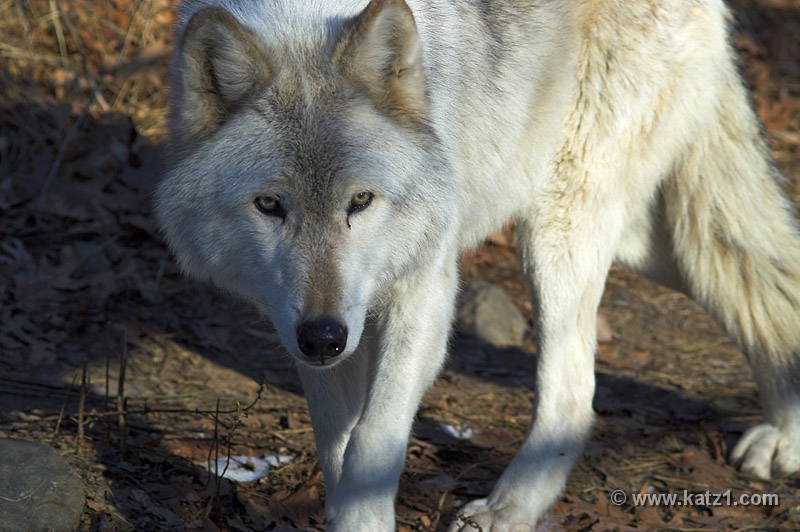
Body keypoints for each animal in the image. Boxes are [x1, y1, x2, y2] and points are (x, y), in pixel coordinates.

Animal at [154, 0, 800, 530]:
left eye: (360, 201)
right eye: (270, 206)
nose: (324, 337)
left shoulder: (424, 291)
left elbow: (371, 442)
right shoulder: (313, 324)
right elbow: (337, 448)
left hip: (557, 227)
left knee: (574, 392)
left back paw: (508, 509)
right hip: (646, 239)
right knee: (760, 276)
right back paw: (786, 434)